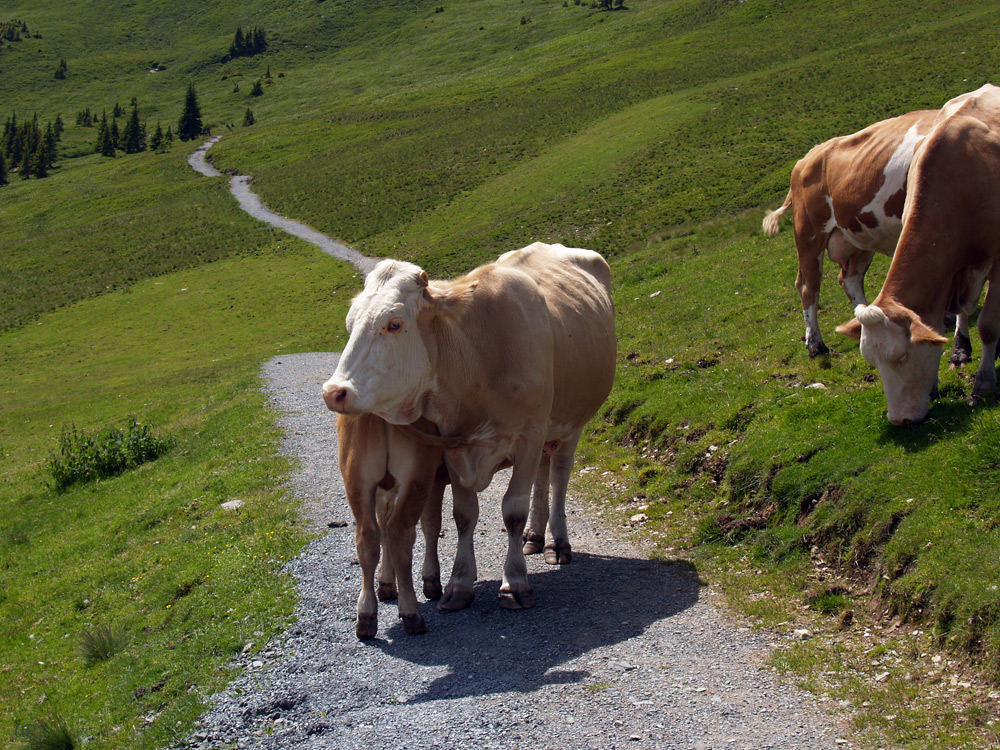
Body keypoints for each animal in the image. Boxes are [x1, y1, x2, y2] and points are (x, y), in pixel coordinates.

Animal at [322, 244, 616, 612]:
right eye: (350, 323)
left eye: (394, 323)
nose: (334, 392)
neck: (477, 355)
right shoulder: (454, 444)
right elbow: (463, 514)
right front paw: (459, 583)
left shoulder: (529, 436)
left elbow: (513, 510)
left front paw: (515, 582)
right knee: (542, 475)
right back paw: (535, 537)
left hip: (571, 423)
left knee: (559, 477)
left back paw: (557, 543)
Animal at [336, 412, 446, 640]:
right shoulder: (436, 474)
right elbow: (431, 524)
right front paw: (431, 580)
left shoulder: (382, 490)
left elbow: (383, 526)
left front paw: (386, 583)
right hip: (417, 476)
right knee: (399, 533)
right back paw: (411, 614)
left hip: (356, 480)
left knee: (368, 536)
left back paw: (366, 615)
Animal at [764, 107, 968, 362]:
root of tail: (808, 156)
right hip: (809, 234)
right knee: (807, 285)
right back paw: (815, 344)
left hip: (860, 236)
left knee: (850, 279)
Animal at [832, 84, 1000, 426]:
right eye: (871, 362)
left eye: (902, 356)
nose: (900, 420)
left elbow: (989, 324)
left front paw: (984, 383)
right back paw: (960, 348)